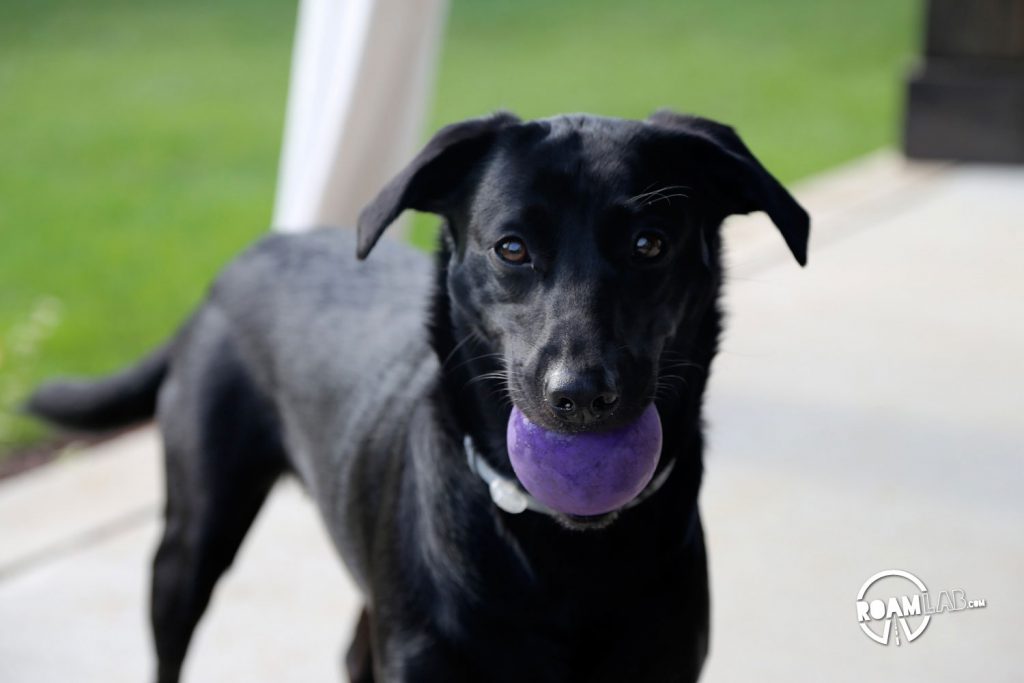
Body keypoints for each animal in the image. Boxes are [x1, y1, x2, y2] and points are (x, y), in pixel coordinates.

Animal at [28, 109, 806, 679]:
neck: (561, 547)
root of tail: (238, 264)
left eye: (650, 244)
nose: (580, 395)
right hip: (192, 541)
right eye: (512, 247)